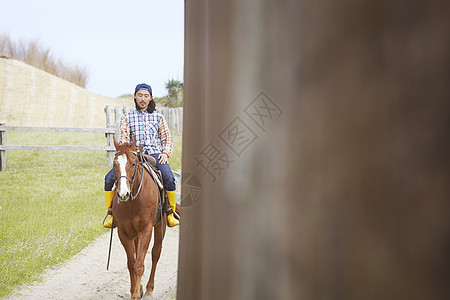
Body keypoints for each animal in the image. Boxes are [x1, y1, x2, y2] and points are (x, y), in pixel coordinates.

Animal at [111, 137, 168, 298]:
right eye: (114, 164)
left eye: (133, 163)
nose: (123, 194)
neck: (133, 202)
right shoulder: (123, 232)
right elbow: (132, 263)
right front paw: (134, 292)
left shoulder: (146, 230)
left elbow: (139, 264)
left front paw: (137, 294)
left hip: (160, 226)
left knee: (156, 253)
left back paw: (149, 290)